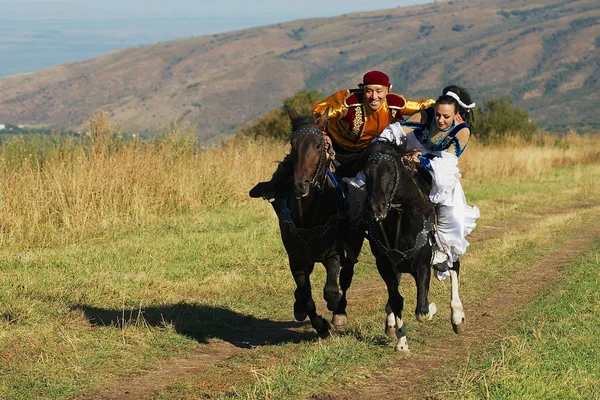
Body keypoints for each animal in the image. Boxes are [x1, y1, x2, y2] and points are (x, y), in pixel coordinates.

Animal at [270, 107, 364, 338]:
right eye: (293, 145)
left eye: (319, 145)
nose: (300, 185)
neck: (310, 213)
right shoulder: (295, 258)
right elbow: (306, 296)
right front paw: (320, 326)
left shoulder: (333, 253)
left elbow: (331, 289)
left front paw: (334, 309)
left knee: (346, 276)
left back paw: (339, 311)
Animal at [358, 141, 438, 354]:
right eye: (367, 172)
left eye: (391, 171)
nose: (377, 207)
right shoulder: (385, 265)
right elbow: (396, 301)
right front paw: (401, 341)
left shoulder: (423, 264)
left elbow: (422, 311)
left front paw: (432, 308)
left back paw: (457, 317)